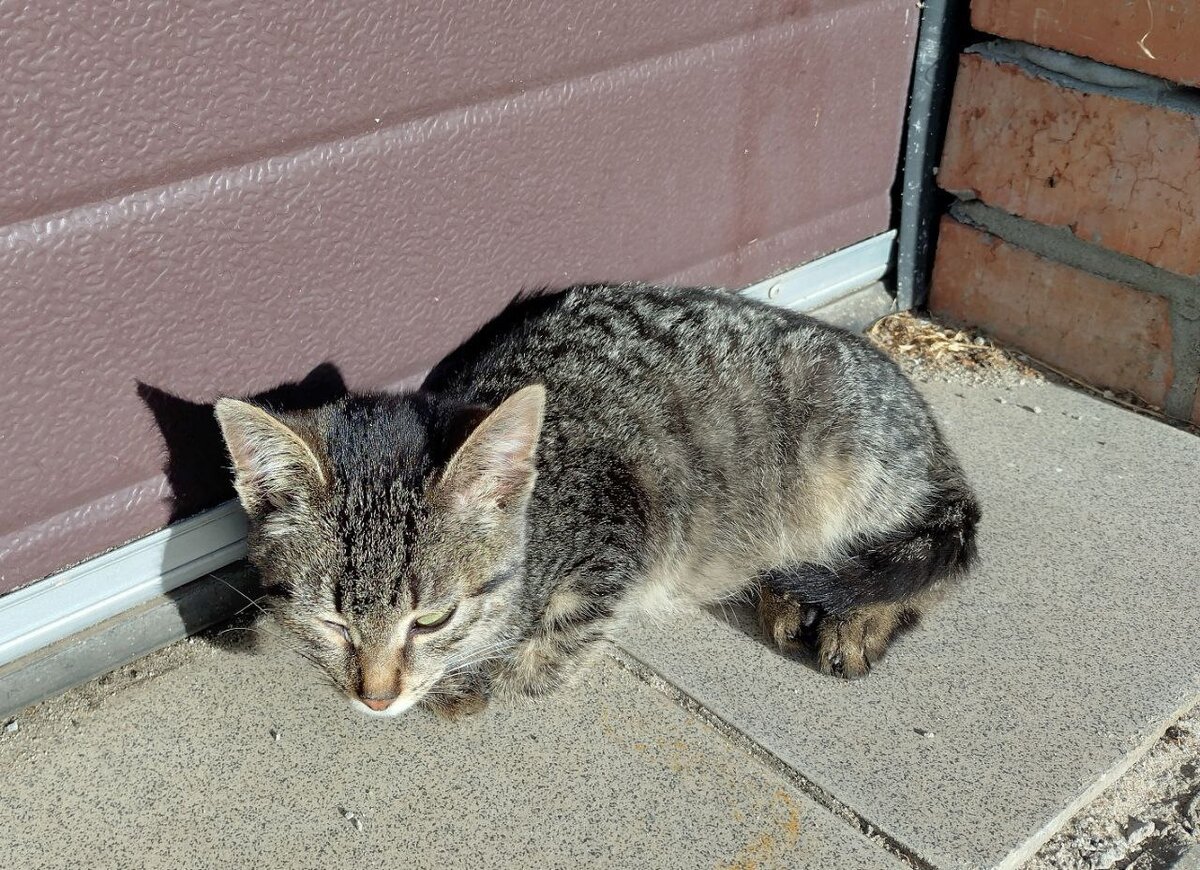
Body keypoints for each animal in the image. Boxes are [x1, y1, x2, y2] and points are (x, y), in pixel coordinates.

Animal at [218, 282, 974, 715]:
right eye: (332, 622)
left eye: (432, 619)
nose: (375, 698)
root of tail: (926, 421)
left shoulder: (628, 533)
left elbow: (542, 659)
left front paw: (473, 679)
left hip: (850, 468)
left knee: (929, 556)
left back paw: (856, 617)